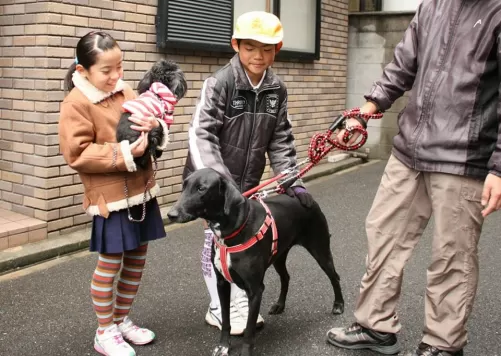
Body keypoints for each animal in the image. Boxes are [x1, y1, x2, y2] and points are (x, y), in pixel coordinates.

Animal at [168, 169, 344, 356]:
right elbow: (226, 320)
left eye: (201, 188)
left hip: (320, 250)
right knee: (286, 278)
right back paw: (280, 305)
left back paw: (339, 305)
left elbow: (249, 330)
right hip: (279, 256)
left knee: (334, 276)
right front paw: (223, 346)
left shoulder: (255, 290)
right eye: (184, 185)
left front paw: (245, 351)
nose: (171, 215)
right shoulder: (222, 284)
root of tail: (303, 197)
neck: (232, 231)